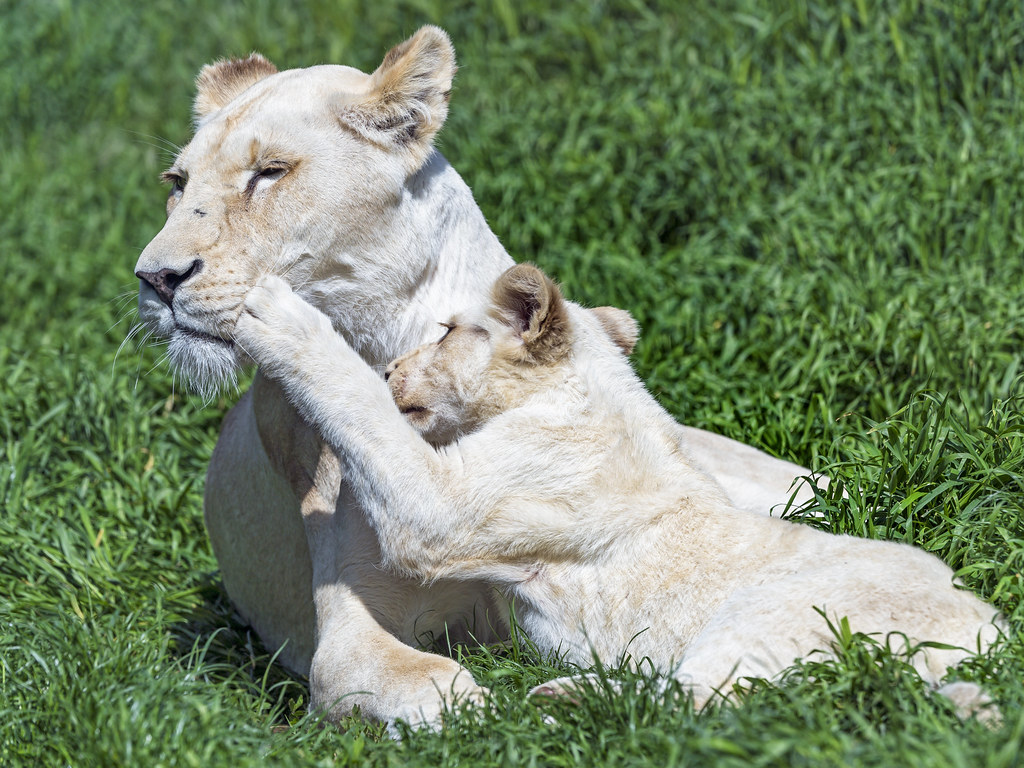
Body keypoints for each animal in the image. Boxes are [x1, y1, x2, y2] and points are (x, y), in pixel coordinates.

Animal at [233, 264, 1003, 719]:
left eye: (447, 331)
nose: (393, 368)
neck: (578, 390)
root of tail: (992, 638)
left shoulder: (444, 509)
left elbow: (363, 413)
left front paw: (275, 315)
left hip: (776, 610)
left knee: (711, 700)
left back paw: (565, 698)